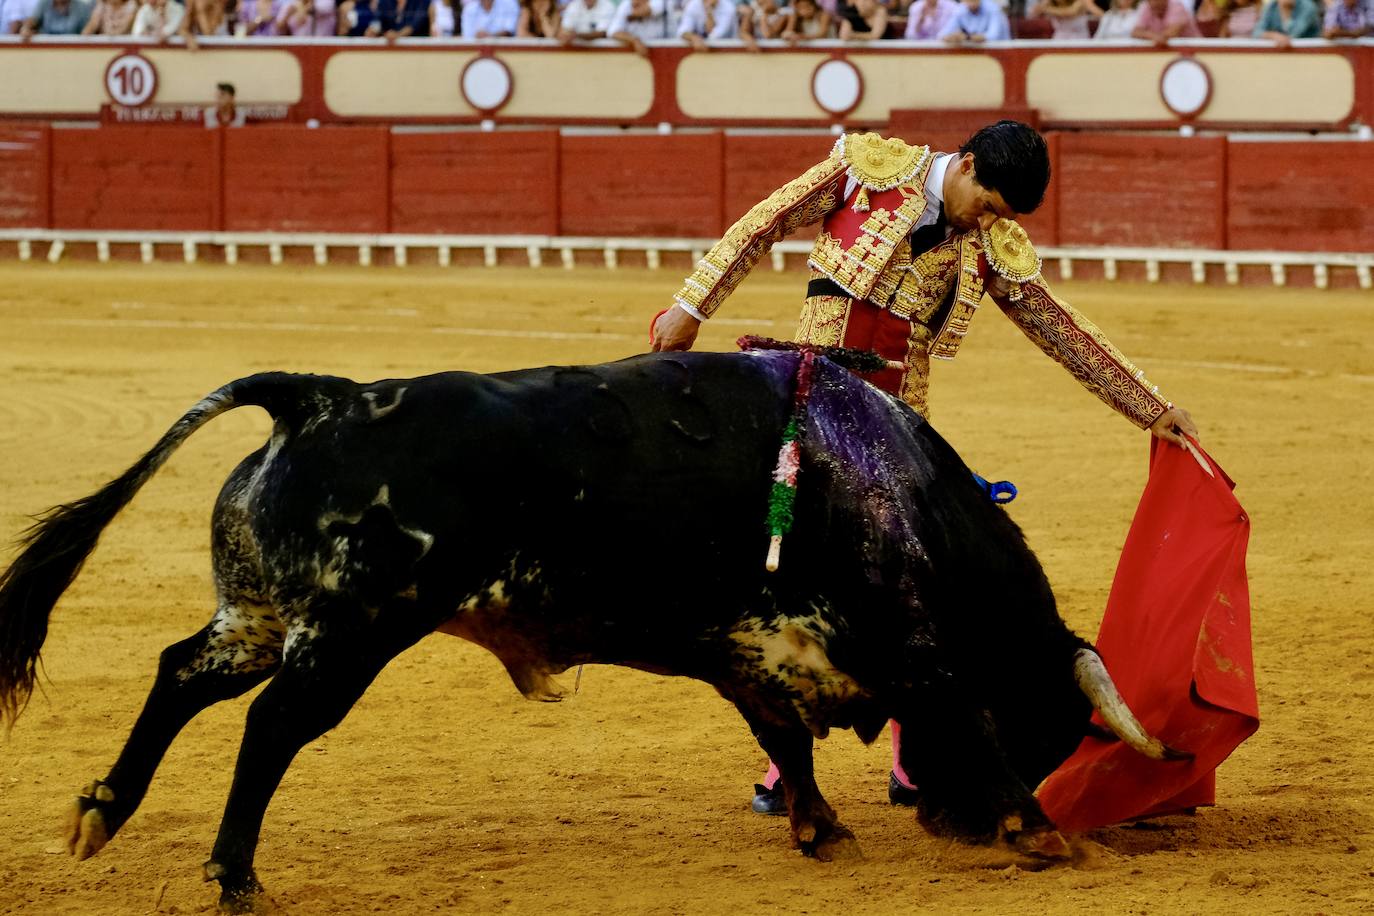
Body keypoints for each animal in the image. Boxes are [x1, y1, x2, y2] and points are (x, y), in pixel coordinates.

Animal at [2, 348, 1181, 911]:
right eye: (1047, 722)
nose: (953, 825)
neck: (896, 488)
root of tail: (321, 398)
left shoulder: (745, 651)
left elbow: (787, 742)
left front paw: (821, 827)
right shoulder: (908, 645)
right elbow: (950, 707)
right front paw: (1041, 828)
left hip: (257, 611)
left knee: (181, 674)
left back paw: (102, 813)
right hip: (356, 629)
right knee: (275, 725)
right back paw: (236, 878)